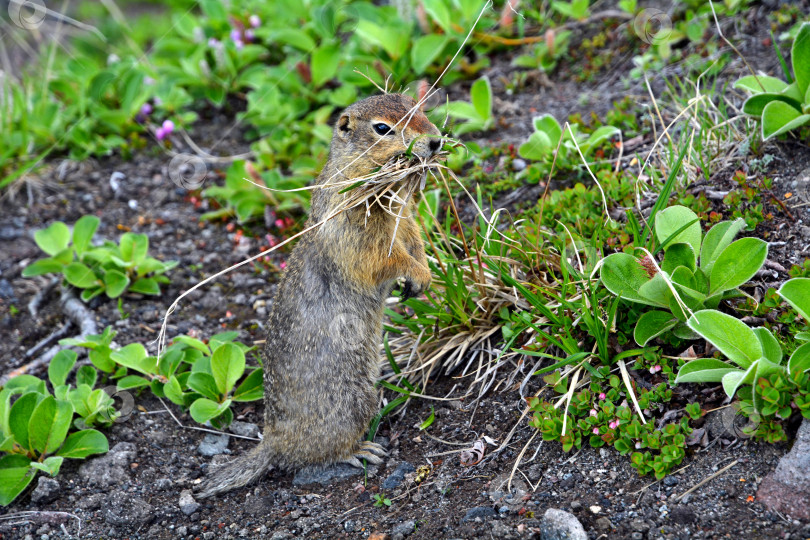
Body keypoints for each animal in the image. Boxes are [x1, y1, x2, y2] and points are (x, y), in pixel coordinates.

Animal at [197, 94, 442, 498]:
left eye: (418, 106)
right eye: (383, 128)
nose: (436, 141)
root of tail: (273, 442)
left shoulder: (404, 217)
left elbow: (415, 237)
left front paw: (423, 275)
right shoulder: (358, 228)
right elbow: (385, 258)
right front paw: (420, 274)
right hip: (352, 404)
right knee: (321, 453)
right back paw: (362, 451)